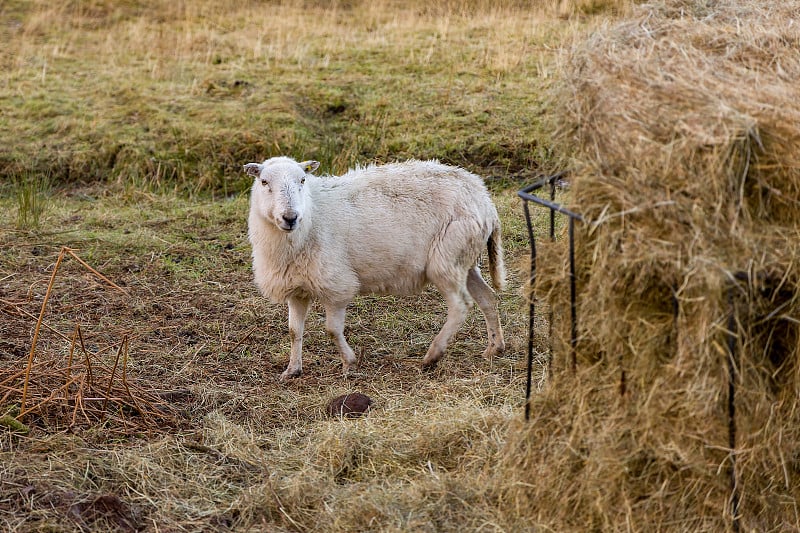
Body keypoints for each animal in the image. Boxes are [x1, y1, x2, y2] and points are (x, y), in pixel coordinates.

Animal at [244, 156, 506, 380]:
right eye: (264, 181)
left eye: (302, 180)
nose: (290, 218)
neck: (312, 214)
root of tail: (485, 200)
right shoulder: (297, 287)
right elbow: (294, 331)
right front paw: (292, 370)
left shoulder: (336, 285)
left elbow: (332, 329)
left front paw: (349, 363)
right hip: (464, 260)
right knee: (487, 298)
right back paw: (495, 348)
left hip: (447, 259)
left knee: (460, 306)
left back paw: (433, 355)